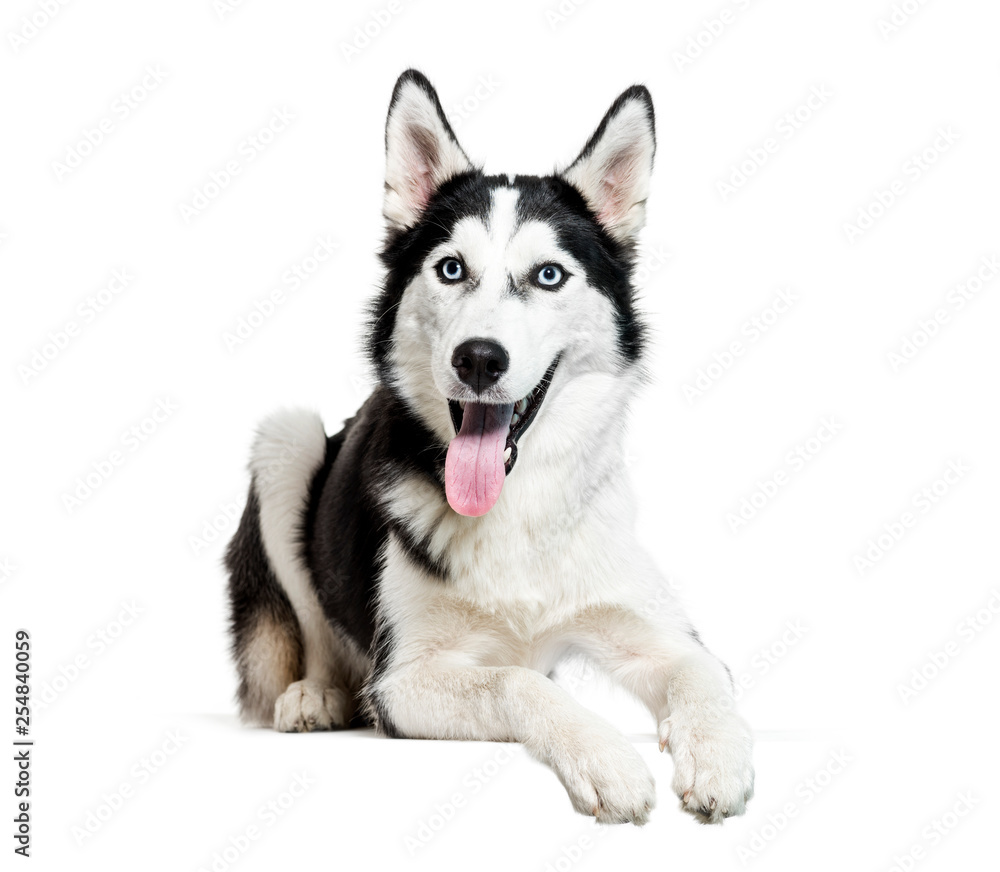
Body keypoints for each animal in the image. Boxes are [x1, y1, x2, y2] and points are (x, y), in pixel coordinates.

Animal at [227, 70, 752, 824]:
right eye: (451, 269)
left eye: (549, 275)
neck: (516, 506)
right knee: (321, 627)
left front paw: (717, 756)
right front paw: (605, 759)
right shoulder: (404, 681)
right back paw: (318, 694)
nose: (478, 358)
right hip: (285, 439)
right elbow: (515, 682)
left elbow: (705, 675)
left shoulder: (661, 634)